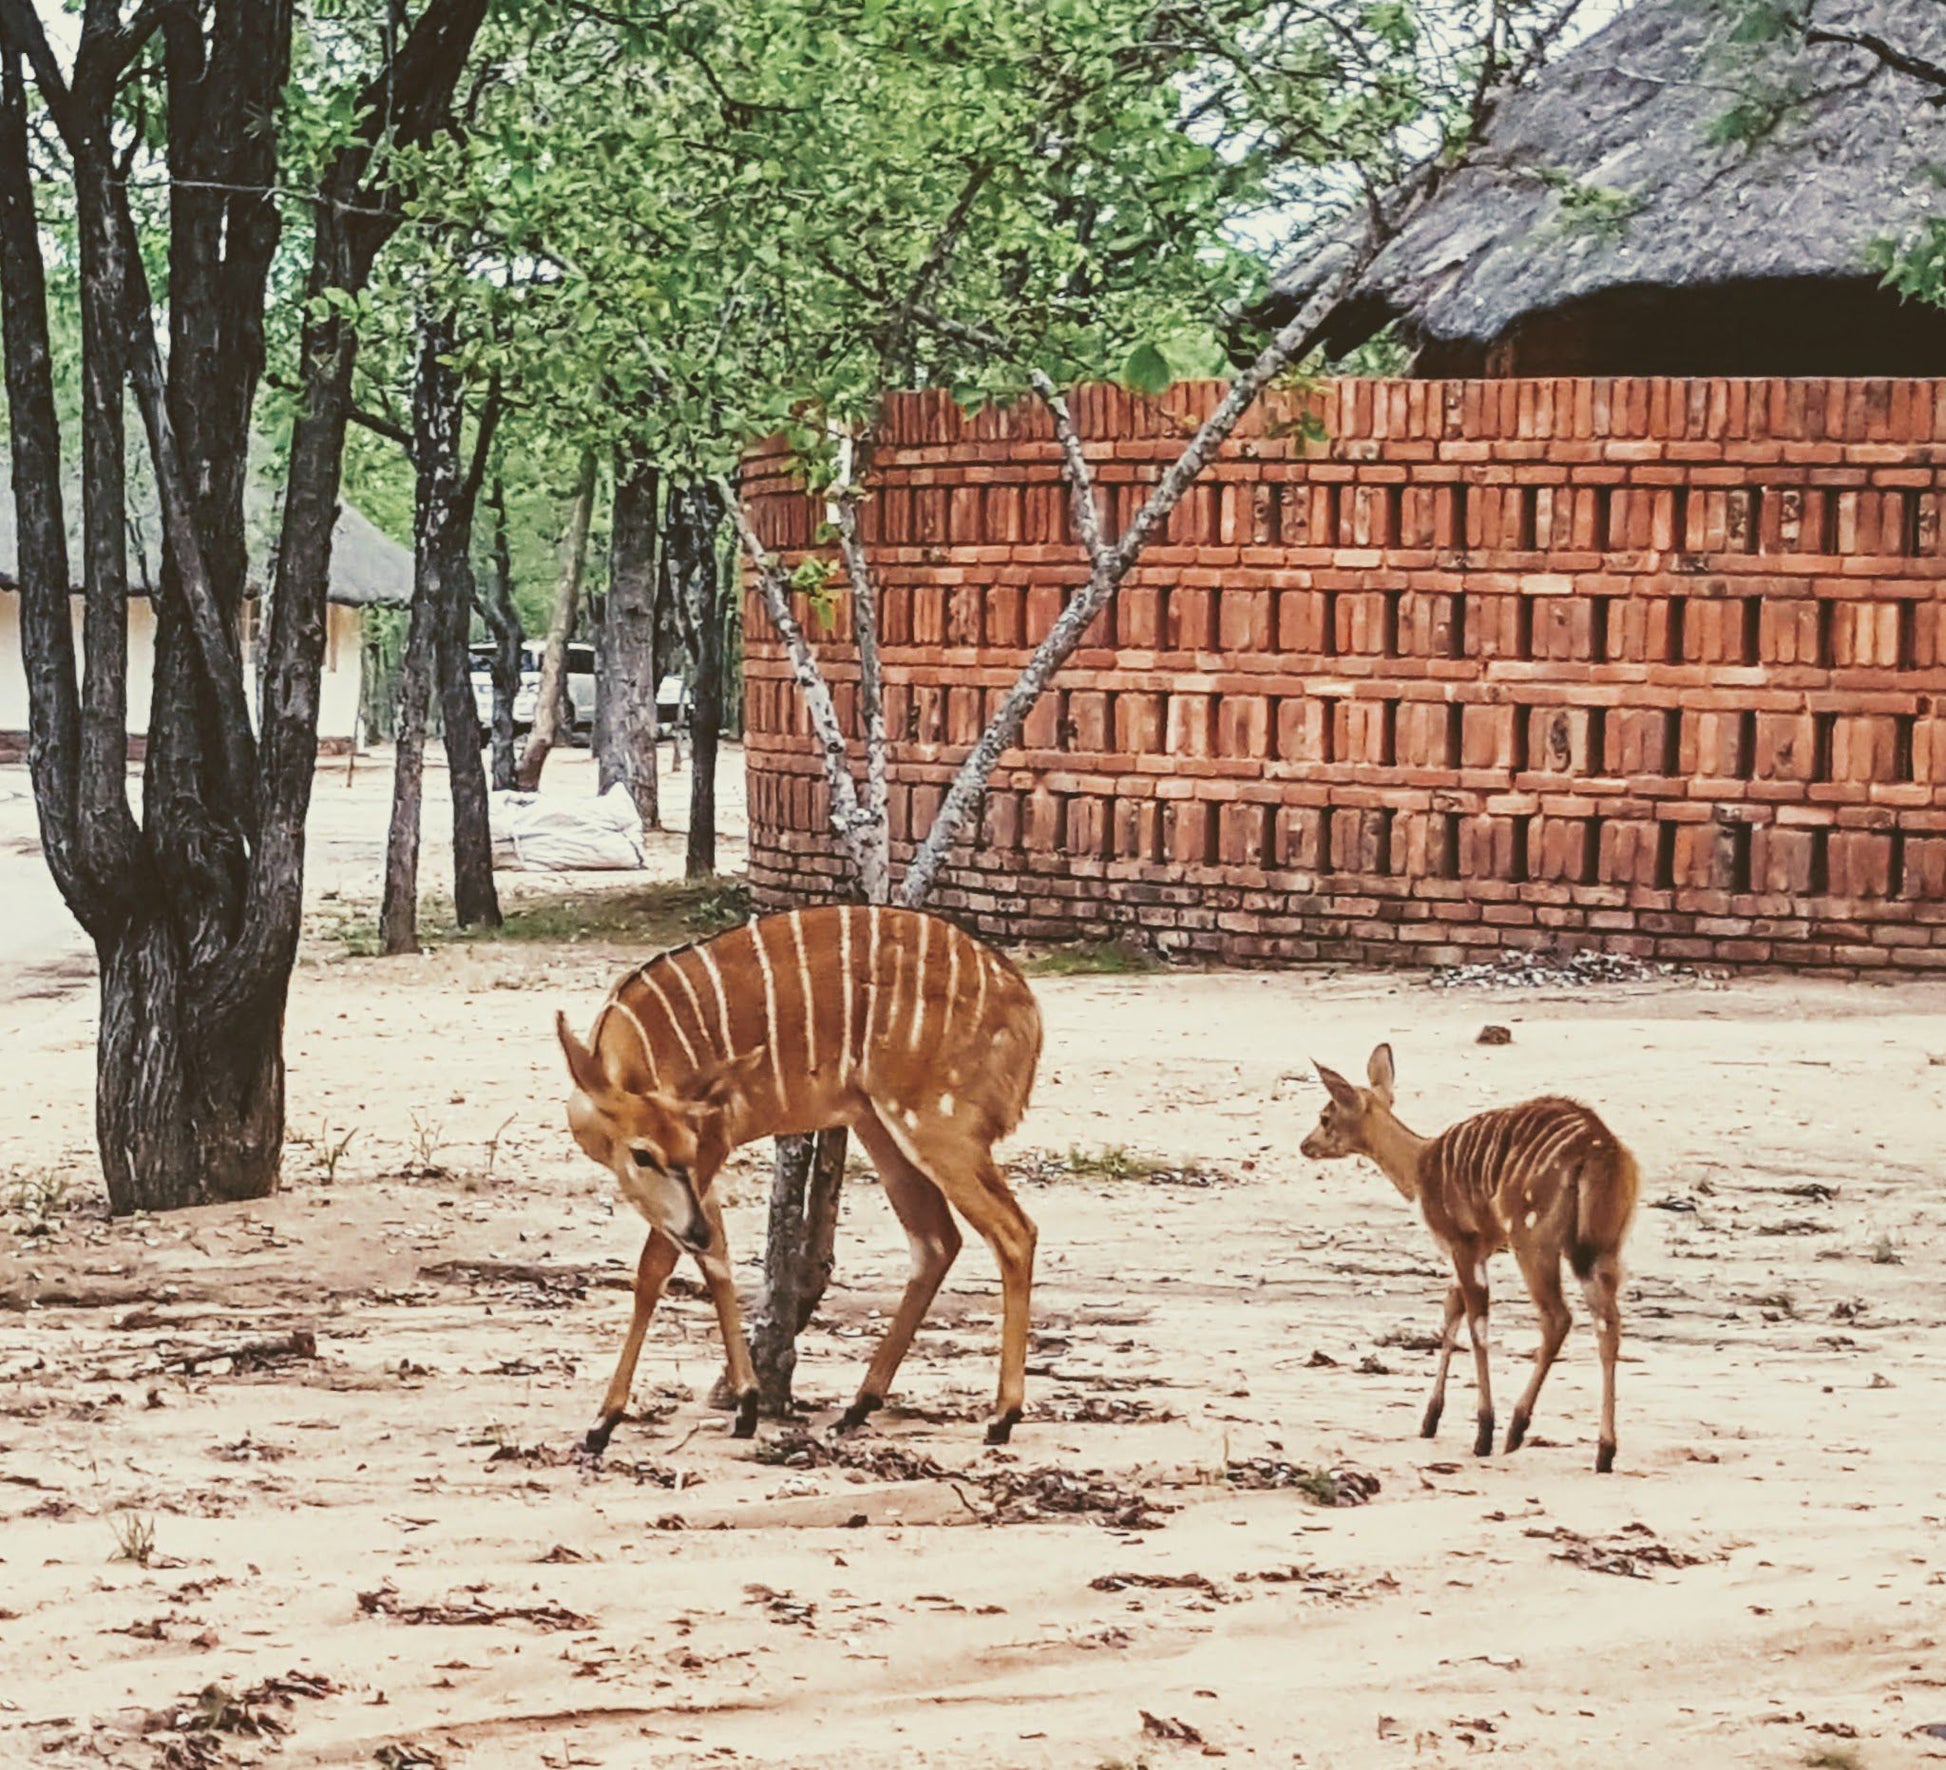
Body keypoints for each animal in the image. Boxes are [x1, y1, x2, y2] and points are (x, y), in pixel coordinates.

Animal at [560, 914, 1050, 1454]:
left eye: (659, 1151)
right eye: (643, 1154)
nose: (694, 1230)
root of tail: (1027, 1010)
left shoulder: (711, 1146)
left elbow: (654, 1271)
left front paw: (603, 1422)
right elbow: (718, 1261)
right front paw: (747, 1406)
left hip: (937, 1125)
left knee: (1013, 1231)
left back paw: (1002, 1416)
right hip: (878, 1124)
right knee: (937, 1240)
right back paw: (857, 1408)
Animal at [1299, 1042, 1634, 1478]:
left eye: (1325, 1116)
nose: (1304, 1145)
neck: (1419, 1166)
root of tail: (1600, 1147)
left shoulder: (1463, 1244)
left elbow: (1475, 1325)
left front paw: (1483, 1433)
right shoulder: (1477, 1248)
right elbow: (1451, 1313)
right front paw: (1430, 1420)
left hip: (1533, 1240)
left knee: (1557, 1318)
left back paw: (1516, 1430)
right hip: (1602, 1248)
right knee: (1608, 1324)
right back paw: (1604, 1452)